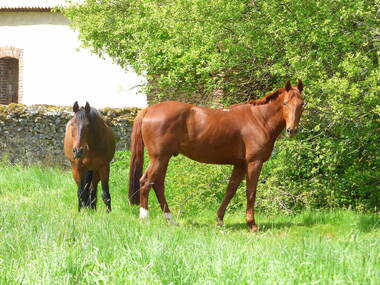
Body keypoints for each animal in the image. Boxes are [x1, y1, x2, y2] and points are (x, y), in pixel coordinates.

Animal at [129, 80, 304, 231]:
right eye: (285, 103)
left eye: (302, 104)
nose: (291, 131)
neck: (258, 119)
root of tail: (148, 110)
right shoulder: (254, 162)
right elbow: (251, 192)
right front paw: (252, 224)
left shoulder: (240, 164)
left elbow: (230, 190)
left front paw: (219, 220)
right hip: (159, 158)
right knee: (146, 182)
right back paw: (145, 220)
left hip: (165, 158)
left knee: (158, 185)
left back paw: (171, 221)